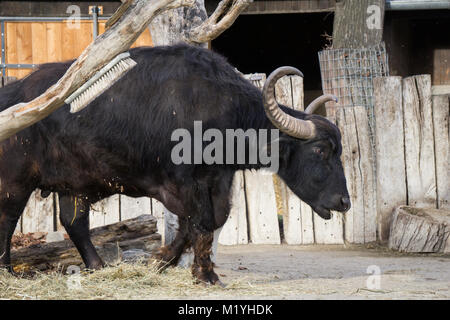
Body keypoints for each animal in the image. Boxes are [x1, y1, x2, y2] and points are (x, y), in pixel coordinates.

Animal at [0, 43, 352, 284]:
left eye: (339, 150)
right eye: (321, 150)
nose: (344, 202)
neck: (220, 111)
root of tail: (10, 96)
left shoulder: (217, 181)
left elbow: (202, 223)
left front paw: (163, 262)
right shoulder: (184, 184)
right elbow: (200, 222)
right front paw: (205, 274)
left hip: (73, 186)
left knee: (75, 223)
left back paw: (98, 267)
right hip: (15, 183)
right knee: (7, 221)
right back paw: (8, 271)